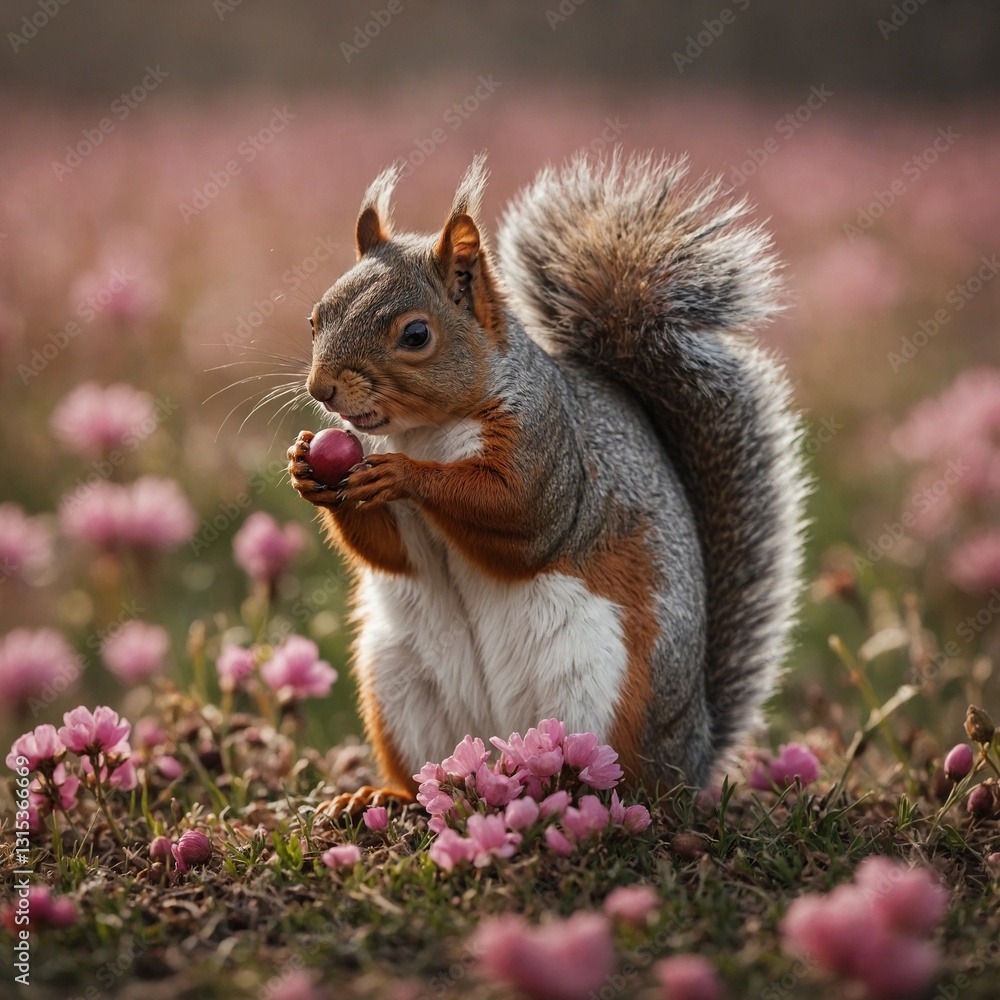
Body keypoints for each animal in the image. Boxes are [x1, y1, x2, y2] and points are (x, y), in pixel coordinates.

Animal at [287, 151, 806, 815]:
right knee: (427, 776)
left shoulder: (546, 447)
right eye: (315, 318)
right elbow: (389, 551)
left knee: (611, 778)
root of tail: (689, 759)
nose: (321, 389)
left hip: (601, 687)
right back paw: (383, 797)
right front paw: (305, 467)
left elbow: (520, 514)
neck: (422, 431)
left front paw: (409, 476)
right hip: (400, 685)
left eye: (415, 335)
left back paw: (565, 796)